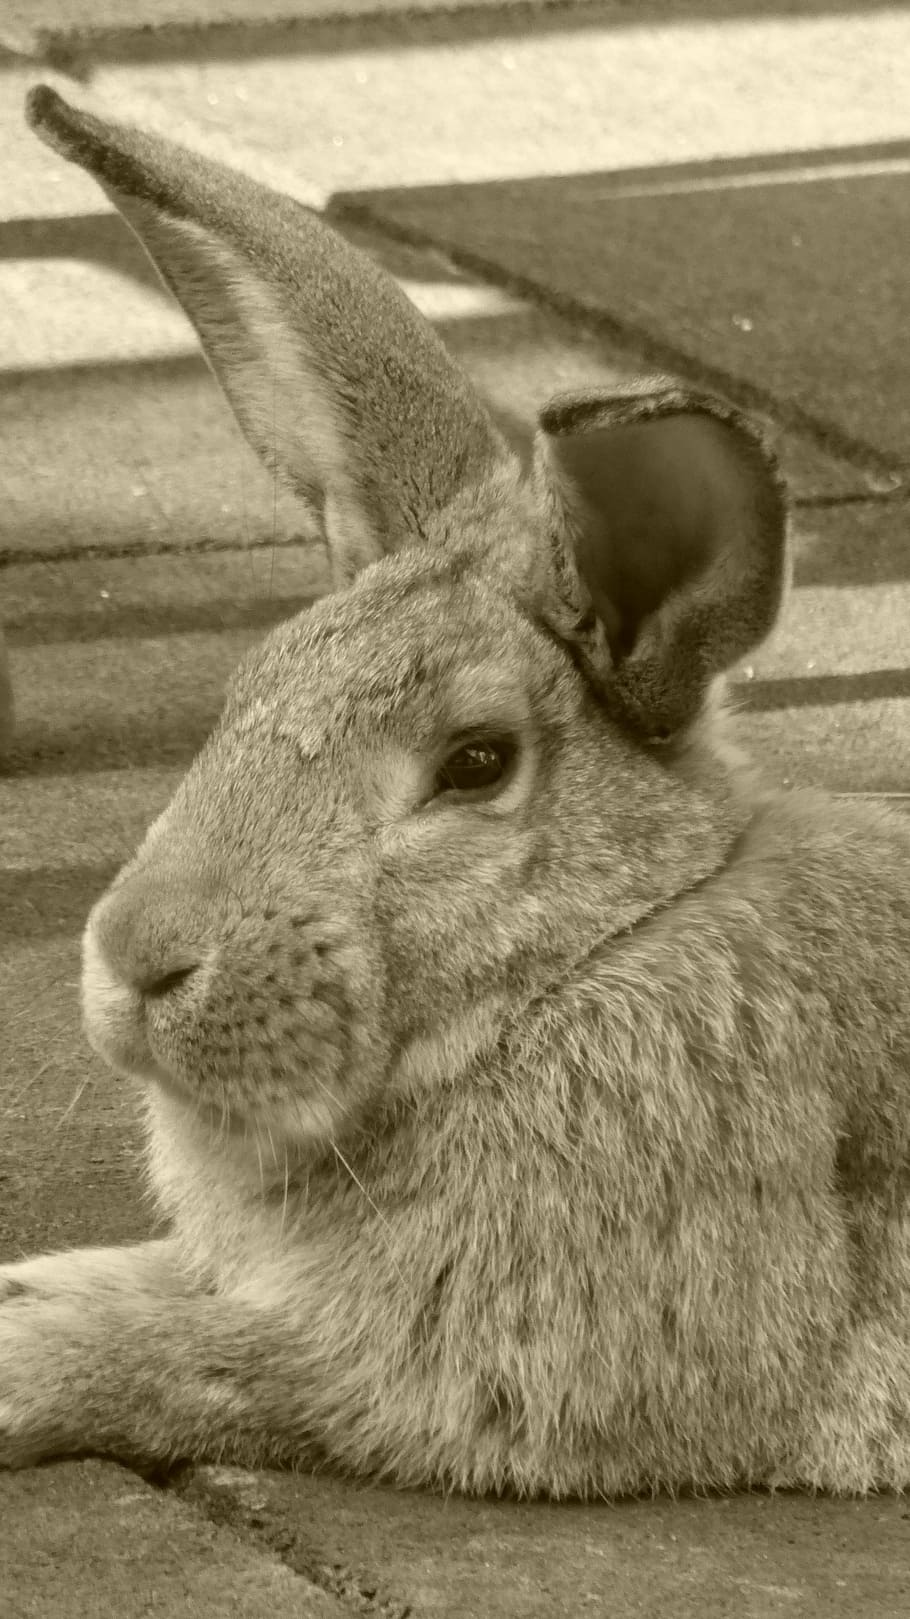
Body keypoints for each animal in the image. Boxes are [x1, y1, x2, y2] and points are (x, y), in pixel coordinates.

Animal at [1, 82, 908, 1499]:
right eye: (246, 687)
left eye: (475, 761)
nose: (136, 957)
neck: (604, 951)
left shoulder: (451, 1368)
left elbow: (196, 1362)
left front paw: (18, 1364)